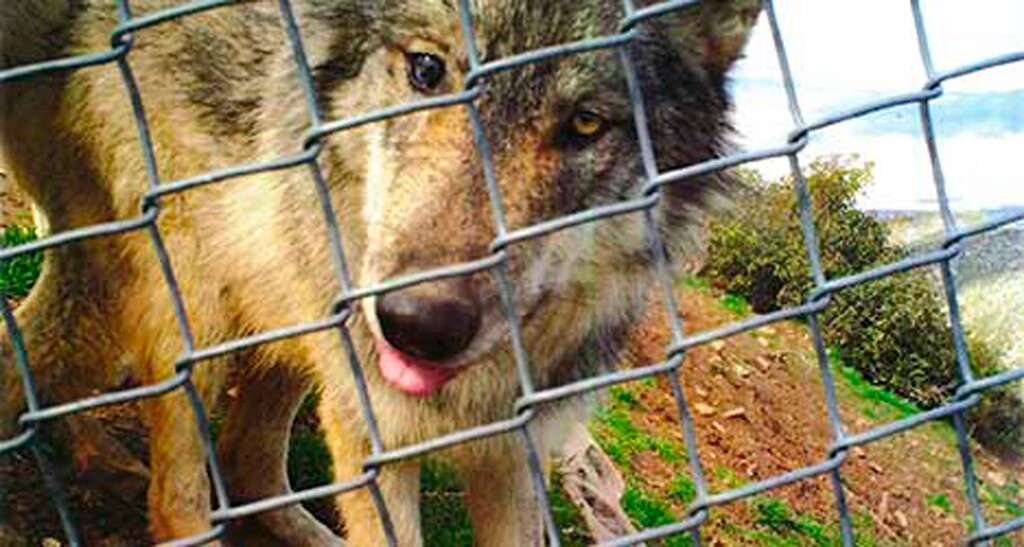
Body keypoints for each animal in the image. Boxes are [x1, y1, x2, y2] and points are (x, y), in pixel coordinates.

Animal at [0, 0, 759, 544]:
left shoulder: (514, 451)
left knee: (244, 460)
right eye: (427, 71)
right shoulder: (379, 437)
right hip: (204, 307)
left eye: (587, 124)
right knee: (177, 490)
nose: (417, 324)